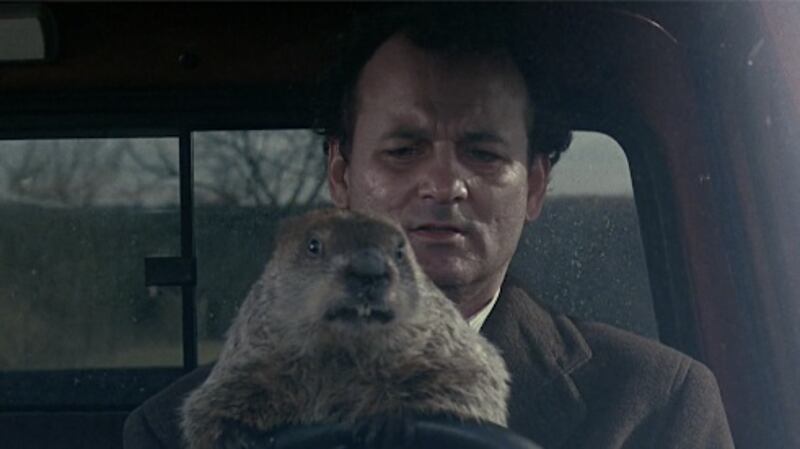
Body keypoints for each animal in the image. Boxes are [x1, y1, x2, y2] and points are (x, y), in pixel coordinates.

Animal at [180, 208, 510, 449]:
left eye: (400, 250)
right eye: (313, 245)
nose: (369, 269)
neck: (342, 354)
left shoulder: (440, 337)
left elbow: (472, 376)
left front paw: (386, 416)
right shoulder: (256, 351)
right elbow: (214, 397)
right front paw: (232, 433)